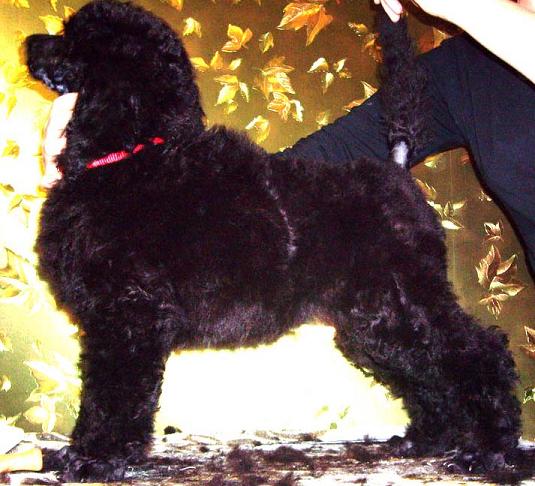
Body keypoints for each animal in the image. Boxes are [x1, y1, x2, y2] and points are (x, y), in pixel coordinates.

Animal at [26, 0, 521, 481]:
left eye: (72, 37)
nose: (29, 42)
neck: (134, 154)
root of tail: (397, 170)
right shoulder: (113, 318)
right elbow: (103, 395)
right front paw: (81, 453)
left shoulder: (129, 315)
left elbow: (112, 395)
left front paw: (96, 459)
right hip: (374, 323)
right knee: (424, 370)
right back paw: (427, 439)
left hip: (410, 299)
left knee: (478, 353)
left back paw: (489, 450)